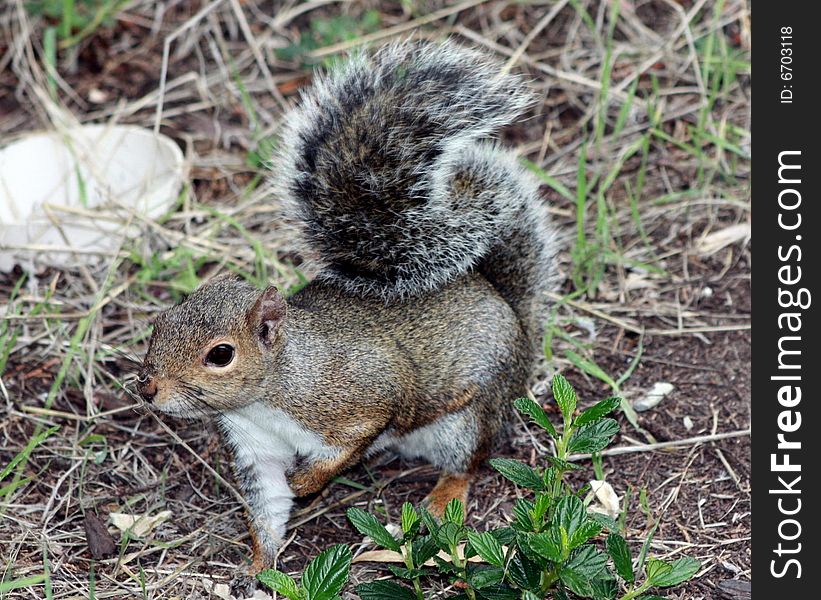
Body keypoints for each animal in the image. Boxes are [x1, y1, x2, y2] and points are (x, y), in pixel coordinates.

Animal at [139, 41, 556, 584]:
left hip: (475, 410)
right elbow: (266, 507)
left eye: (221, 354)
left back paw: (444, 495)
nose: (148, 388)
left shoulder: (362, 395)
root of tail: (507, 304)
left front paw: (307, 481)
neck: (269, 393)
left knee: (469, 461)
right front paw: (259, 566)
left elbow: (349, 444)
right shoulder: (256, 449)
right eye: (159, 324)